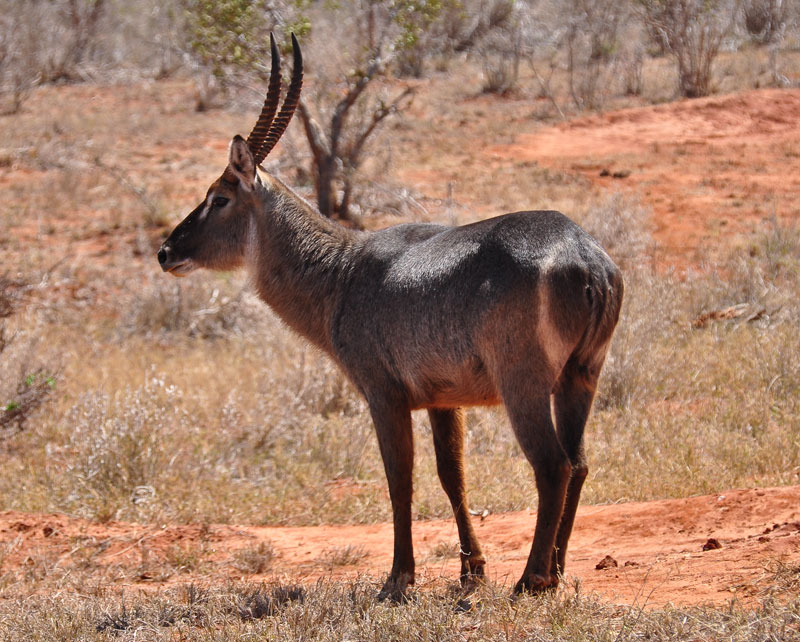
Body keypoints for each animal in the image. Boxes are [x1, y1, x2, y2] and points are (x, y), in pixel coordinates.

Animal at [159, 33, 624, 596]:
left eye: (219, 197)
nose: (165, 251)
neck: (341, 271)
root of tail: (585, 255)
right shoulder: (445, 399)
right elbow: (452, 477)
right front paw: (471, 570)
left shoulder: (383, 394)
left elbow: (399, 480)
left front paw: (399, 580)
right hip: (581, 376)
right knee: (578, 463)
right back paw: (555, 571)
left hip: (525, 385)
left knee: (552, 465)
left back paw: (530, 579)